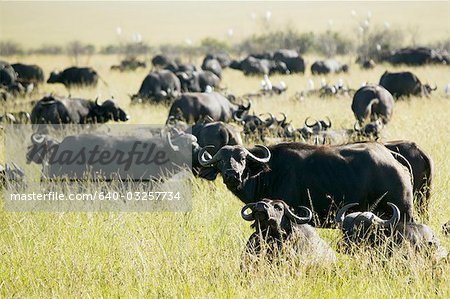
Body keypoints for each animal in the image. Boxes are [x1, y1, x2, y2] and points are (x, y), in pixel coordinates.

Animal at [199, 142, 416, 226]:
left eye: (243, 158)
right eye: (221, 161)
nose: (232, 174)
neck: (270, 173)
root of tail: (391, 156)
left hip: (404, 213)